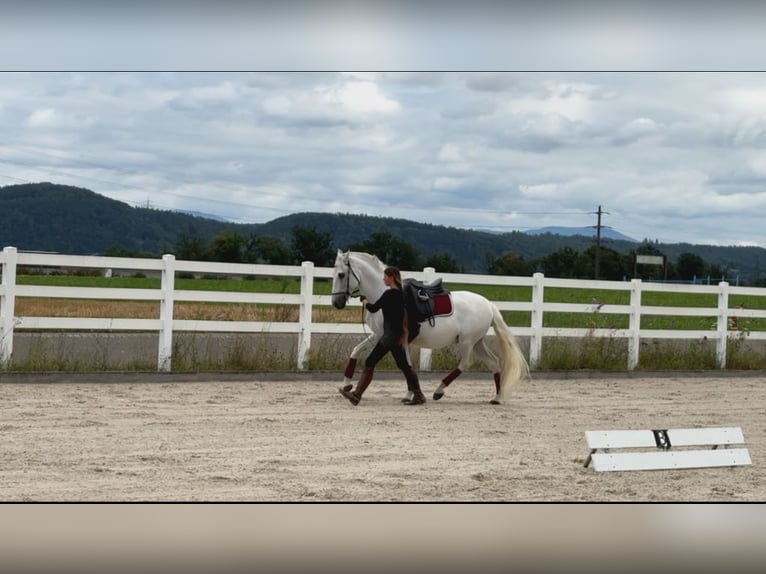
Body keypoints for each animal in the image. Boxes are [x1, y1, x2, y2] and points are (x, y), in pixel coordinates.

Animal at [332, 251, 532, 404]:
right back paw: (497, 398)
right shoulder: (380, 335)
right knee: (494, 363)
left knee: (465, 364)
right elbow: (357, 351)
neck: (384, 294)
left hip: (466, 342)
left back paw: (439, 390)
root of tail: (489, 305)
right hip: (478, 342)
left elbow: (404, 365)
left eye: (341, 274)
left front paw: (411, 395)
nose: (336, 303)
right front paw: (347, 384)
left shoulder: (391, 337)